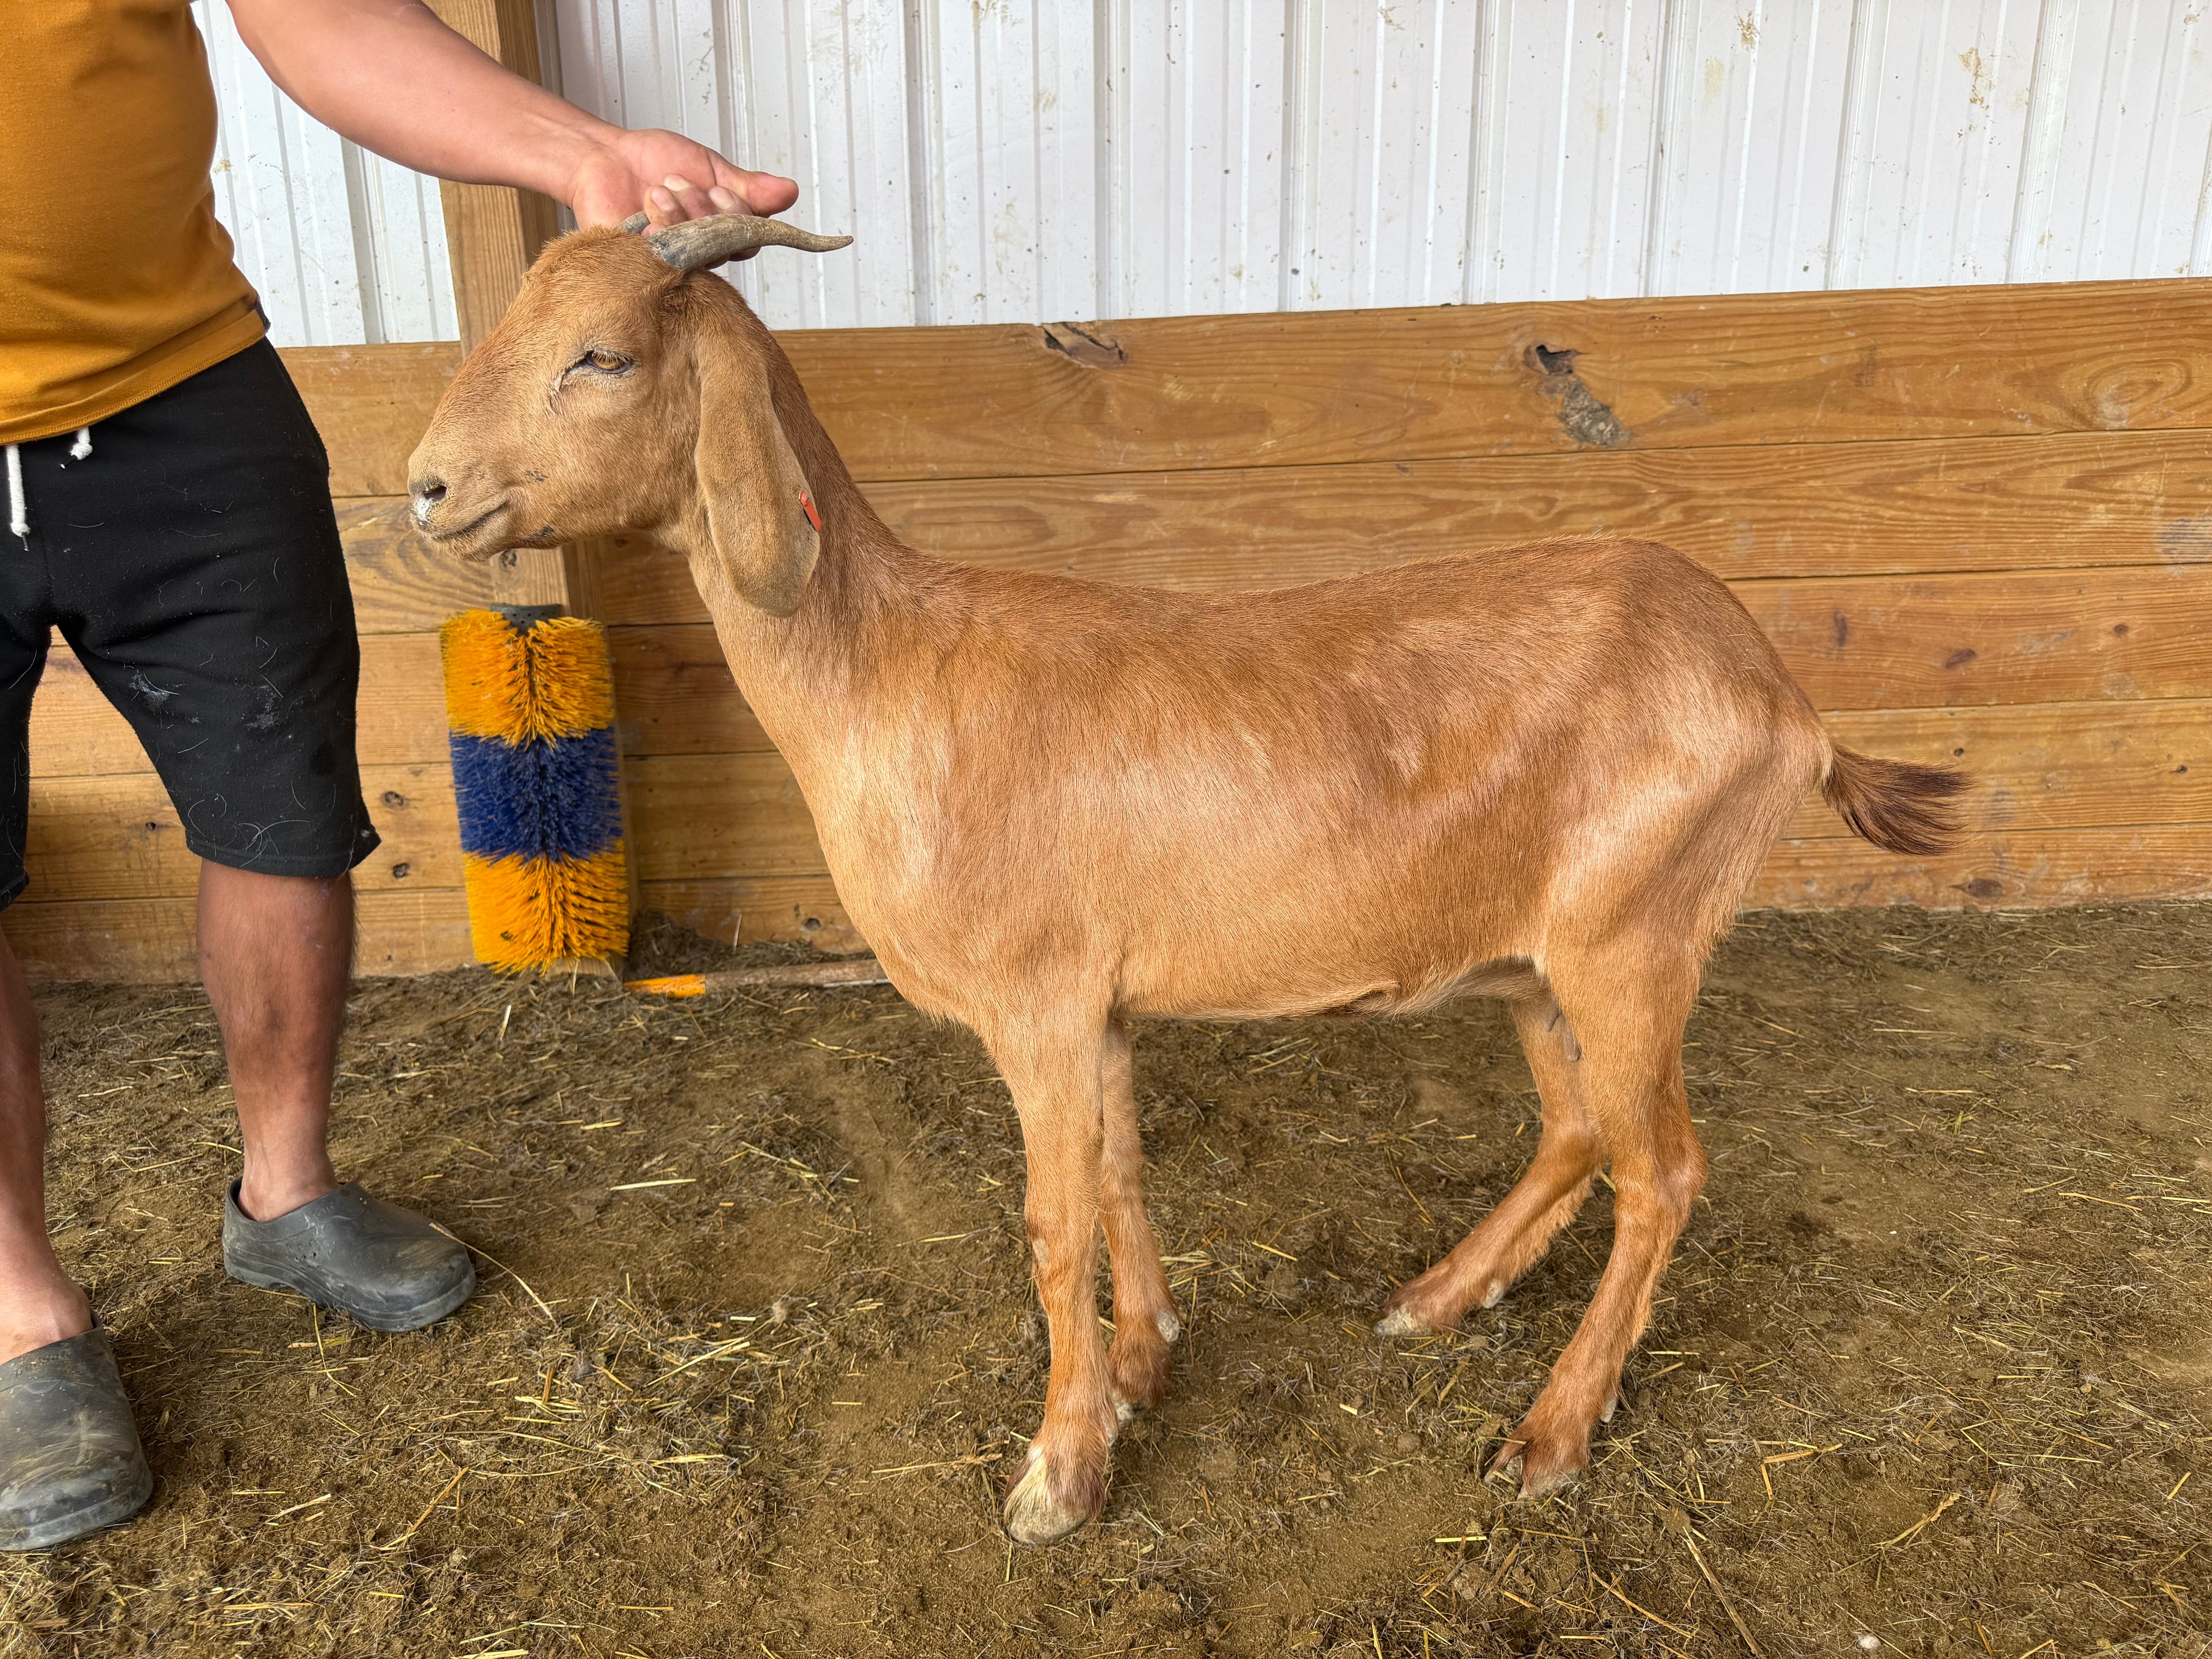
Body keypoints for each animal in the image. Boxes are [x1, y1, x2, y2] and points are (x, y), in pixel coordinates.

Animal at [406, 215, 1968, 1546]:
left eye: (602, 353)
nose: (427, 487)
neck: (890, 672)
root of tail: (1782, 697)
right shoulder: (1095, 996)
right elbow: (1118, 1173)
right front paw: (1140, 1366)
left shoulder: (1034, 1002)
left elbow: (1050, 1226)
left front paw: (1058, 1472)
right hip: (1534, 961)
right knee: (1579, 1130)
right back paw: (1435, 1302)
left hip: (1635, 938)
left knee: (1665, 1172)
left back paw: (1550, 1434)